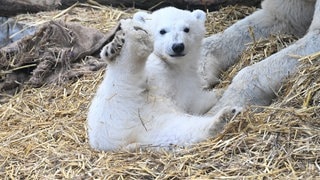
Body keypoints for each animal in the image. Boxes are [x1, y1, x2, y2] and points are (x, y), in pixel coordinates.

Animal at [87, 18, 232, 151]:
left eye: (186, 29)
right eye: (163, 31)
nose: (177, 46)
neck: (174, 67)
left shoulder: (187, 84)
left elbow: (194, 103)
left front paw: (219, 92)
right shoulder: (157, 68)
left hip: (153, 126)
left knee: (183, 130)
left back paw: (224, 117)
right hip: (114, 103)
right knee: (126, 71)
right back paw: (125, 43)